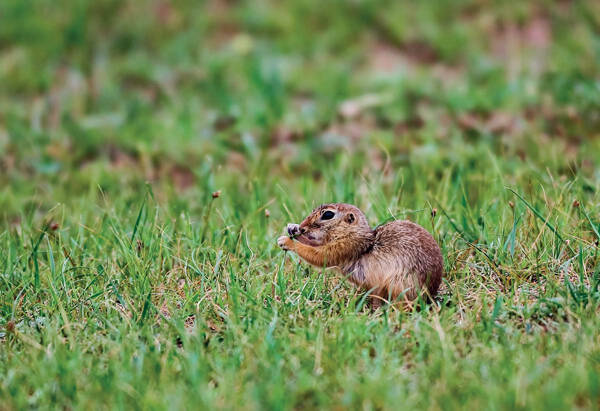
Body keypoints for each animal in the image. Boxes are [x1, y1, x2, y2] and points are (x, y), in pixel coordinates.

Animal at [276, 204, 440, 308]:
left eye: (328, 214)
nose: (302, 226)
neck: (353, 233)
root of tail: (431, 296)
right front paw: (292, 228)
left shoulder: (345, 246)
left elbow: (318, 255)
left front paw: (286, 241)